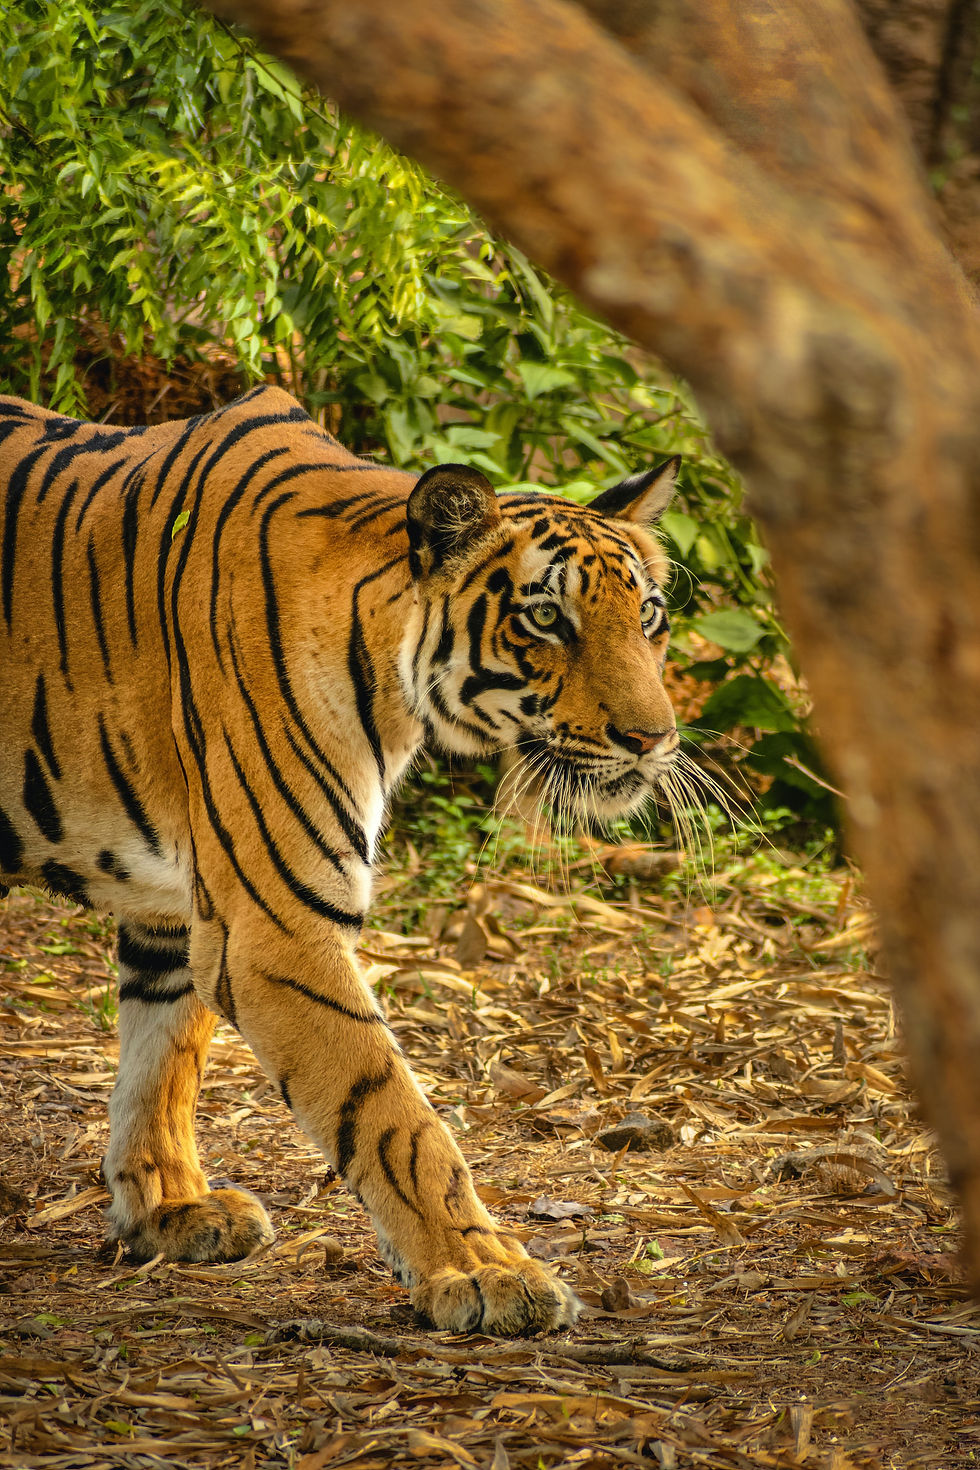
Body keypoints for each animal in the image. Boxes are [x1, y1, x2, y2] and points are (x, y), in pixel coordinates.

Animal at [0, 383, 680, 1336]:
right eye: (547, 618)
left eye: (648, 616)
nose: (654, 738)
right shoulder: (276, 928)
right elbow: (392, 1113)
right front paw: (486, 1272)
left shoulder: (180, 904)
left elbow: (163, 1055)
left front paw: (169, 1210)